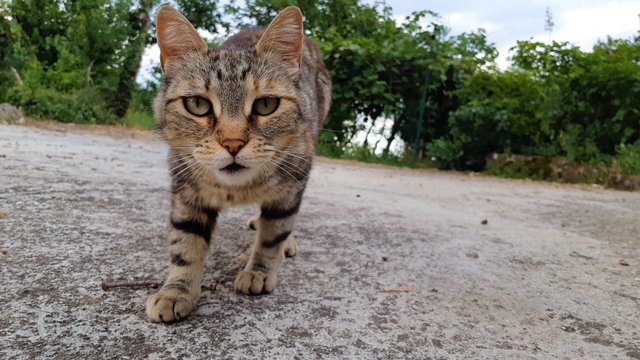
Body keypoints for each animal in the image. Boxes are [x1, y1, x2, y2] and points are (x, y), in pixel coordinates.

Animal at [147, 5, 332, 322]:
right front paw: (176, 291)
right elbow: (185, 243)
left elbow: (274, 234)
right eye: (197, 105)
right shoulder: (186, 190)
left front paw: (259, 271)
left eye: (266, 105)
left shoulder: (292, 183)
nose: (233, 144)